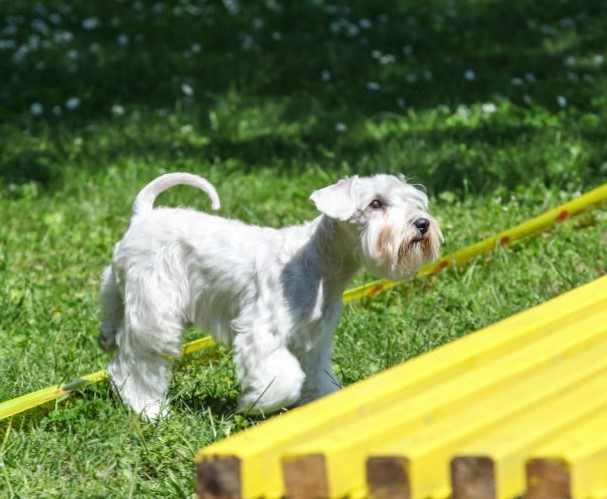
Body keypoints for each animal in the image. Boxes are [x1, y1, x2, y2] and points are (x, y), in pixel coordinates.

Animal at [100, 174, 442, 420]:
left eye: (413, 200)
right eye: (375, 203)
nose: (422, 224)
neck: (318, 265)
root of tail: (144, 215)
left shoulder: (315, 343)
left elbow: (318, 378)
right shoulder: (261, 332)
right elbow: (284, 379)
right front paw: (255, 403)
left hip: (125, 286)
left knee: (110, 300)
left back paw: (106, 336)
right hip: (156, 310)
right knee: (132, 364)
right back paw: (149, 409)